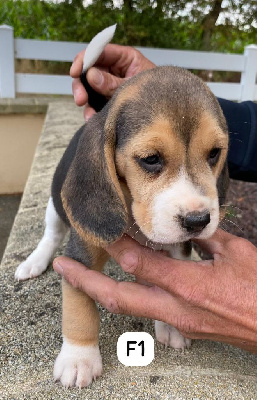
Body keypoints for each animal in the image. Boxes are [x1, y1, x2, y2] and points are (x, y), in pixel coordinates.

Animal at [15, 65, 228, 388]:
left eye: (214, 153)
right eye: (151, 159)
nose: (198, 221)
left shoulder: (178, 247)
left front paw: (171, 327)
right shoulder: (81, 253)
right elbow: (79, 306)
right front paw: (78, 358)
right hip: (56, 202)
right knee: (51, 234)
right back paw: (34, 262)